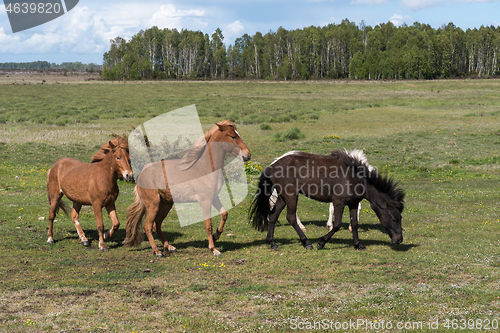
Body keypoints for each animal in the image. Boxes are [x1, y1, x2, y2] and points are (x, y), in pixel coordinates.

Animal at [123, 119, 252, 256]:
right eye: (233, 136)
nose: (248, 155)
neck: (205, 168)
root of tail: (141, 175)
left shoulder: (214, 197)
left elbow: (224, 214)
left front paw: (216, 235)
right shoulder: (205, 201)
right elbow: (208, 225)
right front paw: (214, 249)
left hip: (166, 204)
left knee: (156, 225)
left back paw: (170, 247)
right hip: (154, 204)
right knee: (148, 226)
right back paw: (157, 251)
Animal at [248, 149, 404, 250]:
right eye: (394, 218)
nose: (399, 240)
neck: (354, 178)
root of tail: (272, 166)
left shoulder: (353, 204)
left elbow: (354, 224)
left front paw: (358, 245)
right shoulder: (339, 202)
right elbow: (337, 224)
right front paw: (321, 243)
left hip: (282, 197)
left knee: (273, 216)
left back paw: (272, 243)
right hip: (291, 196)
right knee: (291, 217)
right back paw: (307, 243)